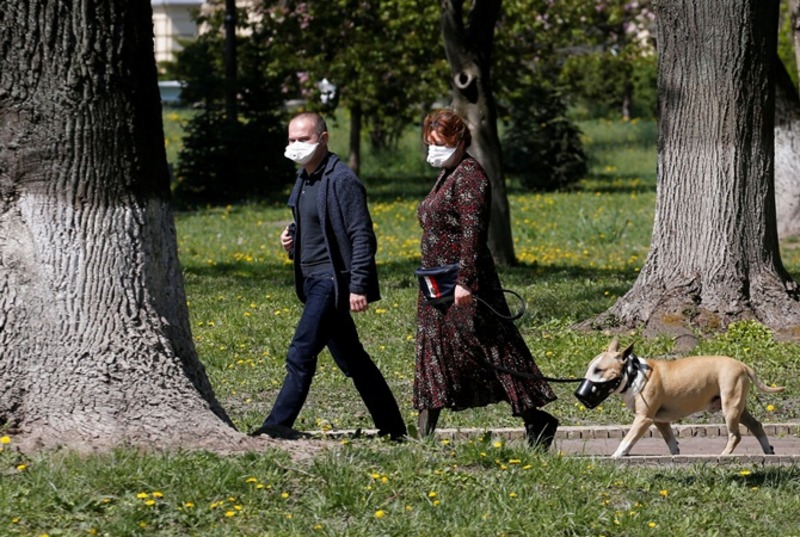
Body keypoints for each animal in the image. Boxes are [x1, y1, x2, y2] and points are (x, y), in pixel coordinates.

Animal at [572, 340, 784, 456]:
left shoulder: (643, 419)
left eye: (599, 370)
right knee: (756, 425)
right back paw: (768, 451)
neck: (633, 374)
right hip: (738, 408)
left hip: (730, 408)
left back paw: (724, 454)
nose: (579, 394)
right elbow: (671, 441)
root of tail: (743, 365)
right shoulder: (659, 420)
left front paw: (616, 455)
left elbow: (627, 439)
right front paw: (674, 455)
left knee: (735, 435)